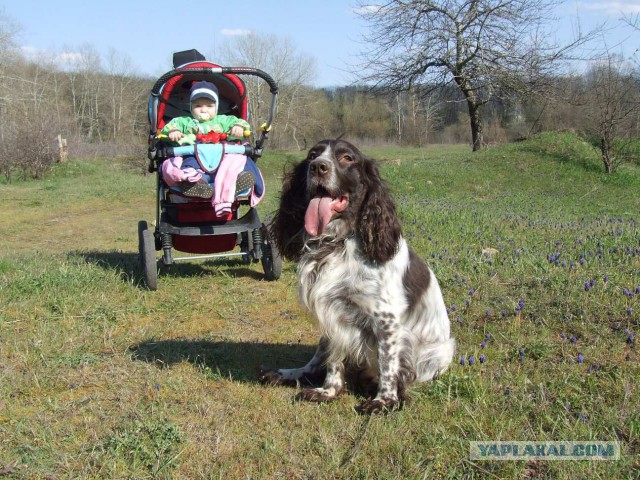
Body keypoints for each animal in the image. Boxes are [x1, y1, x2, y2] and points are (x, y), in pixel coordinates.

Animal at [262, 138, 456, 412]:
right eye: (312, 154)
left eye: (347, 158)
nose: (318, 167)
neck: (337, 243)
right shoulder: (333, 313)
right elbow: (333, 360)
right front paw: (328, 391)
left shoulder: (386, 319)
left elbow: (388, 363)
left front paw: (384, 401)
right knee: (315, 362)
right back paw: (288, 374)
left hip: (439, 352)